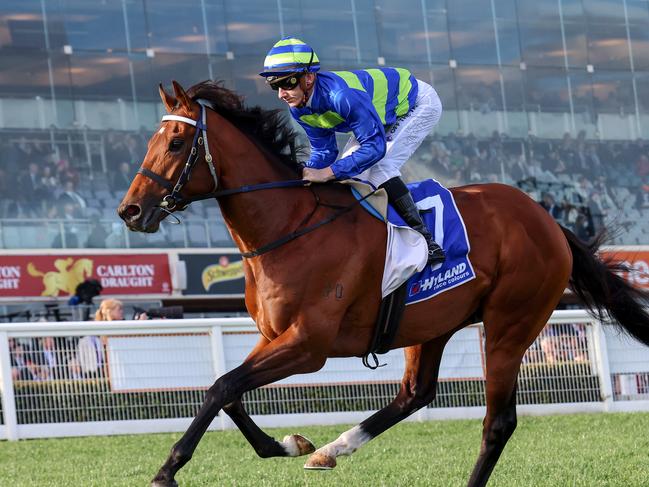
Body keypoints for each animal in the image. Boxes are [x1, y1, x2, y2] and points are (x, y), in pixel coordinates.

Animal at [116, 81, 648, 487]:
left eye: (176, 144)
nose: (130, 211)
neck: (290, 227)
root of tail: (547, 219)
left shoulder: (308, 345)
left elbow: (220, 387)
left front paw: (167, 470)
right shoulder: (274, 336)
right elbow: (226, 389)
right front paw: (290, 443)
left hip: (510, 325)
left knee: (498, 423)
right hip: (433, 324)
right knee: (415, 393)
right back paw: (331, 449)